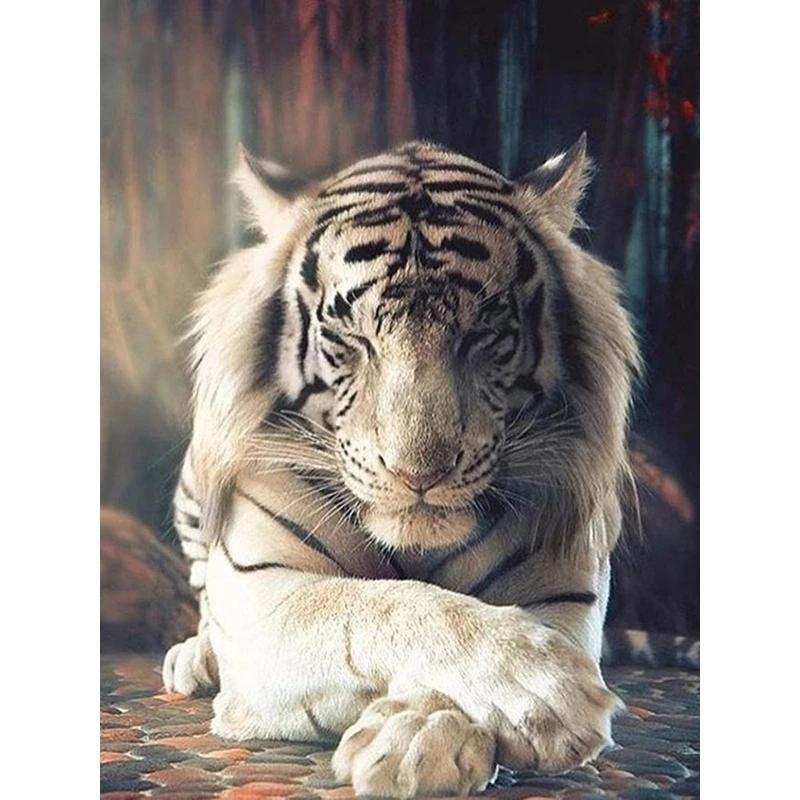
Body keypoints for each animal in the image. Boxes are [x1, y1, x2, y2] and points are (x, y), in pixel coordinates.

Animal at [163, 135, 641, 798]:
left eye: (483, 333)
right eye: (350, 337)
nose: (418, 474)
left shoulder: (564, 592)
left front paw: (420, 738)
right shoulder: (265, 596)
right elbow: (382, 604)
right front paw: (544, 687)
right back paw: (194, 656)